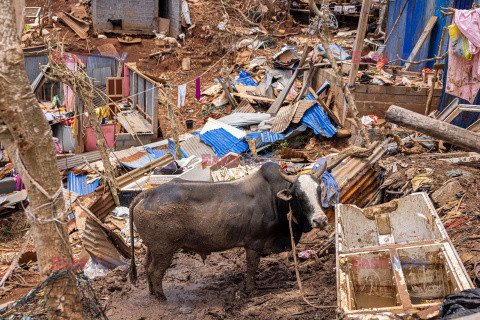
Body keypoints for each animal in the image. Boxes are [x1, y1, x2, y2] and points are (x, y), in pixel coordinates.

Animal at [129, 162, 328, 300]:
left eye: (319, 191)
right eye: (299, 195)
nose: (320, 220)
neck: (274, 198)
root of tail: (147, 193)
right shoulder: (254, 243)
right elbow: (251, 267)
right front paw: (251, 289)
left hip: (152, 248)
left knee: (146, 266)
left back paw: (152, 292)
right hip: (164, 249)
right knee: (155, 271)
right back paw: (161, 297)